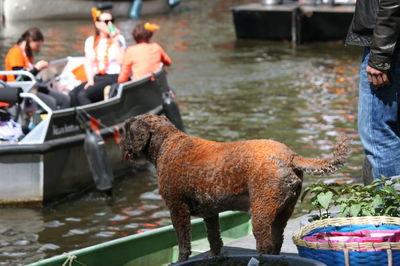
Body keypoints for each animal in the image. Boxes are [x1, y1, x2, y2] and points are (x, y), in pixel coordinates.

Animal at [119, 114, 350, 262]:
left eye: (126, 131)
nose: (120, 145)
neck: (167, 144)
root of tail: (290, 156)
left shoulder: (177, 209)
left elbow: (184, 243)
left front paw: (181, 260)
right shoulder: (210, 213)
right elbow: (214, 240)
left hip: (262, 212)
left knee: (265, 246)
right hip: (282, 214)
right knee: (277, 243)